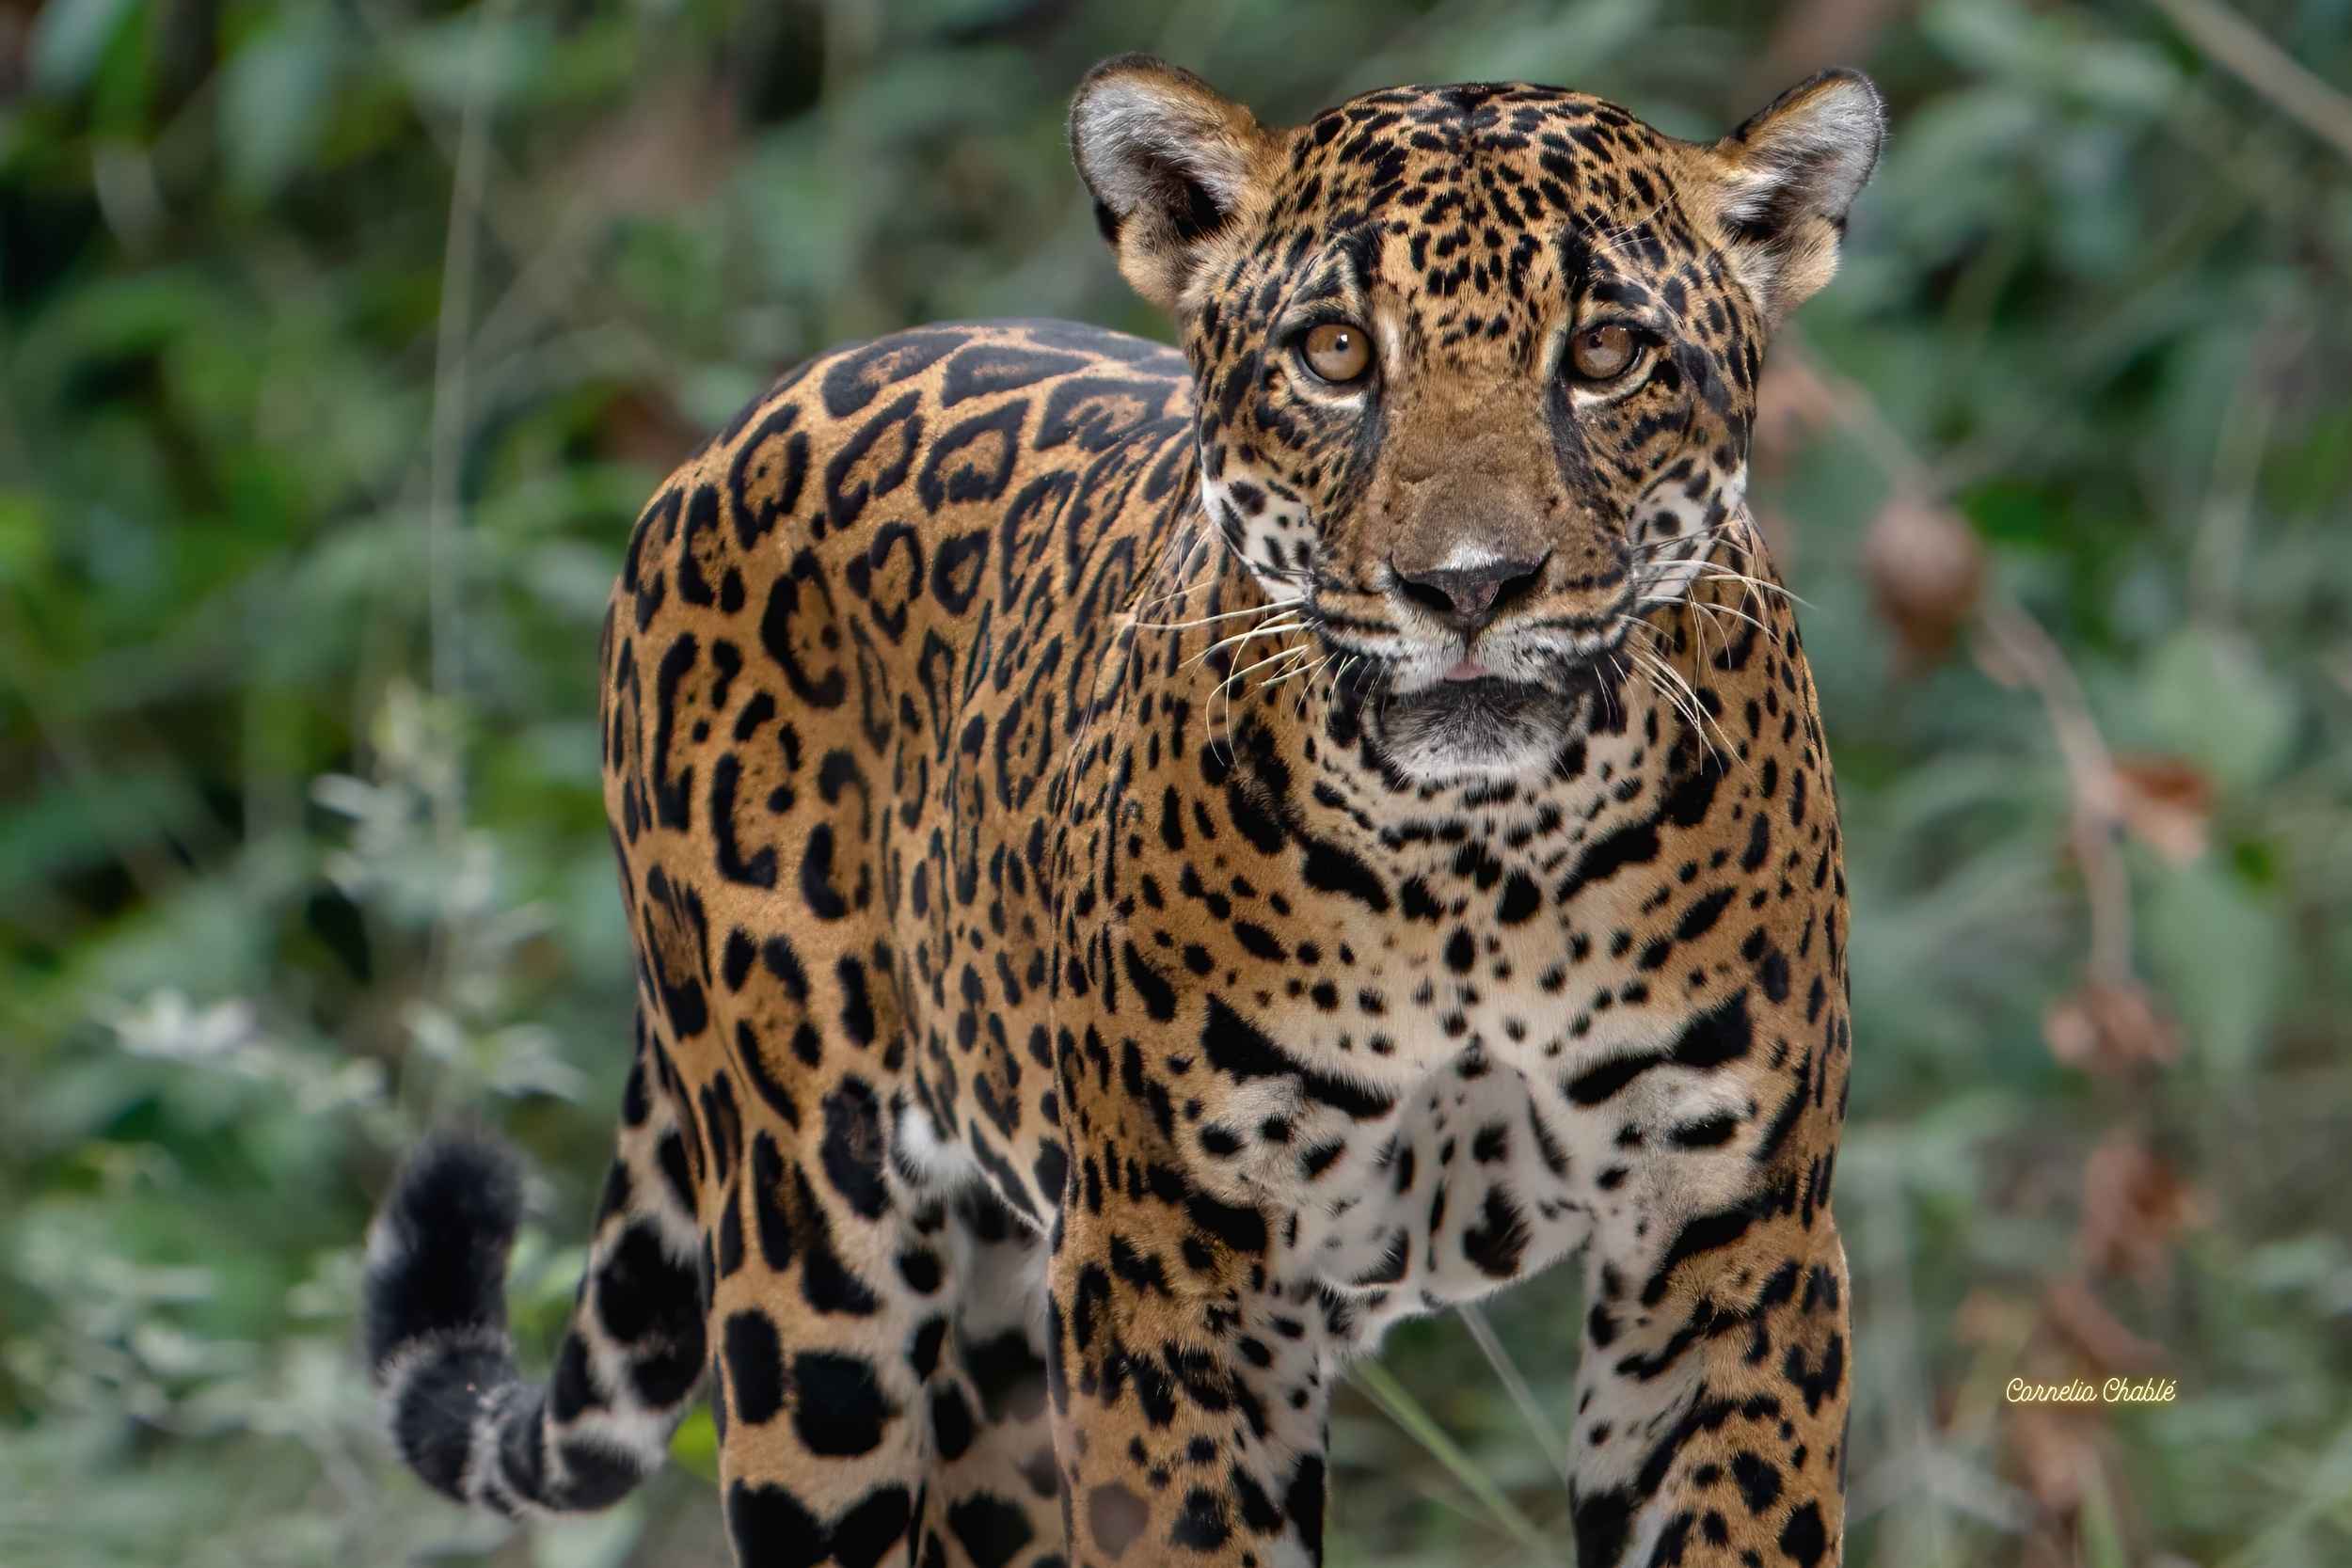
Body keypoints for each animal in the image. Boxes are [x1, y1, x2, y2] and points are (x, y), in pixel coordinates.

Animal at [361, 54, 1881, 1568]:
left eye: (1608, 353)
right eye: (1336, 353)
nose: (1466, 586)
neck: (1476, 863)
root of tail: (743, 421)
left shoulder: (1732, 1248)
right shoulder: (1168, 1265)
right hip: (816, 1272)